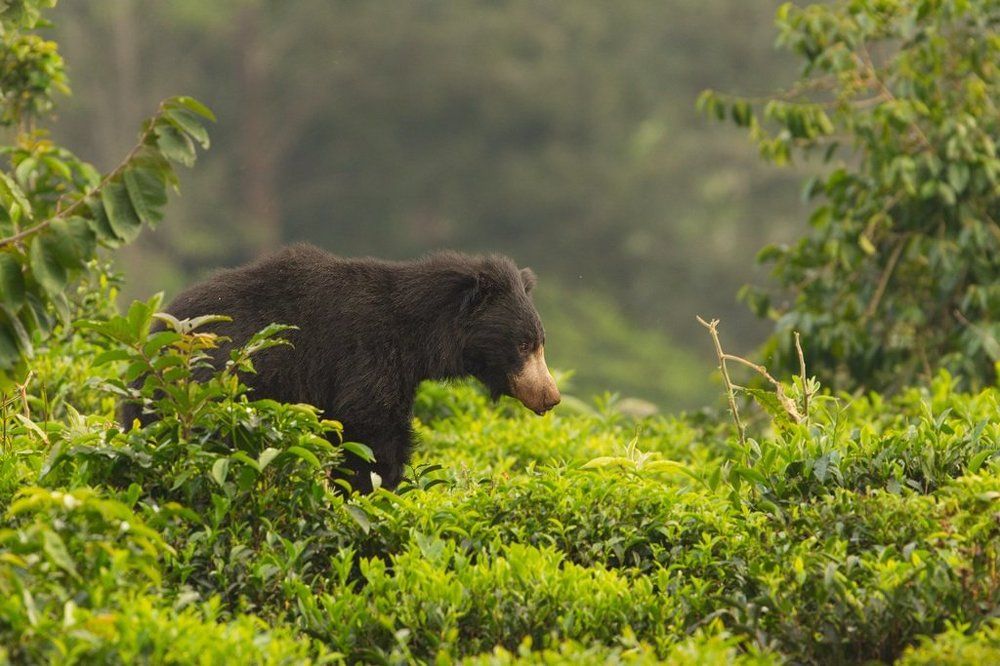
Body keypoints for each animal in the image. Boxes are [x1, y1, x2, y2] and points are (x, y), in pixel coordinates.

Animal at [121, 244, 560, 492]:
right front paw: (371, 488)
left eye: (541, 342)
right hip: (213, 387)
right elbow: (368, 427)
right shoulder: (363, 355)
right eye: (523, 345)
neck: (417, 338)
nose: (551, 397)